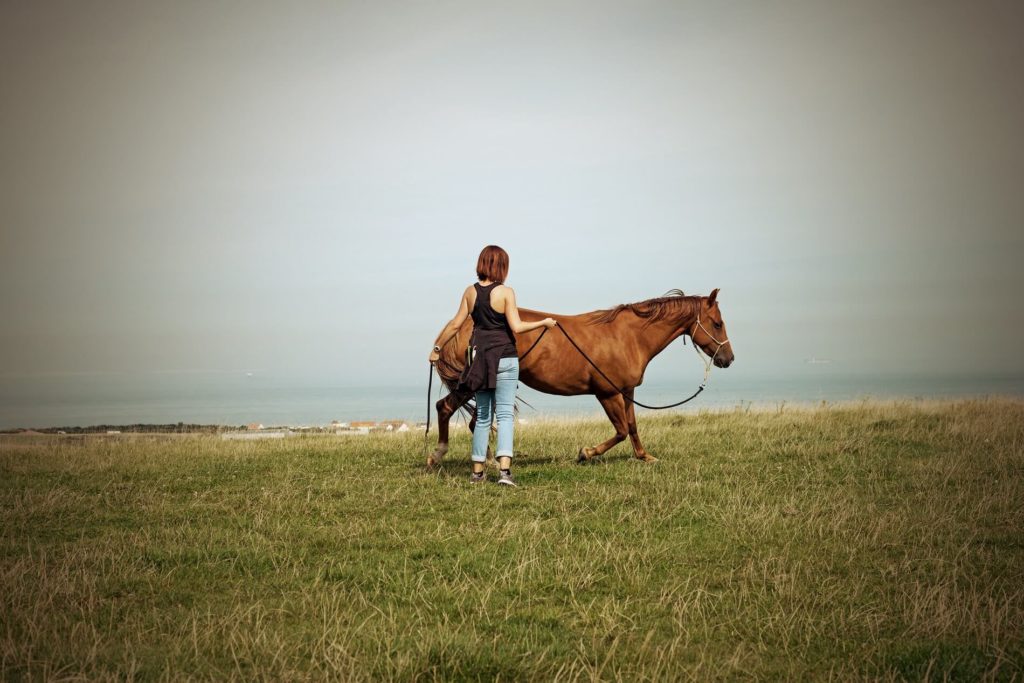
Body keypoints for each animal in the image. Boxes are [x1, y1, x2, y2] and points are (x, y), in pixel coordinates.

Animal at [427, 288, 735, 467]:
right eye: (717, 323)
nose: (728, 359)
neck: (629, 336)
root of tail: (463, 327)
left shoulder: (627, 391)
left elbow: (633, 427)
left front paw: (644, 456)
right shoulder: (607, 394)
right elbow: (621, 431)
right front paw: (585, 453)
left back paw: (487, 459)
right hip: (472, 384)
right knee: (445, 408)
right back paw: (440, 455)